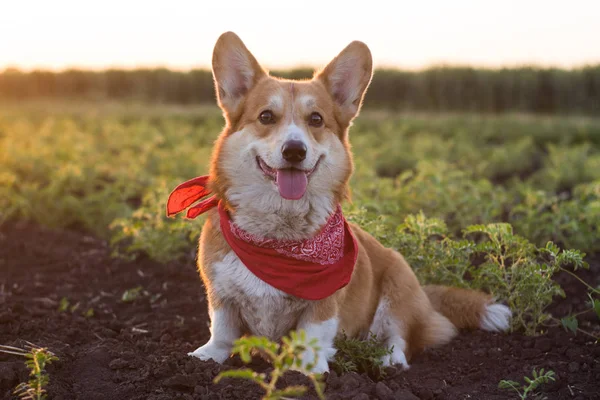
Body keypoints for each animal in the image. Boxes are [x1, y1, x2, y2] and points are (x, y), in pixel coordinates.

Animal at [169, 32, 510, 374]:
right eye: (266, 116)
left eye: (316, 119)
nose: (295, 151)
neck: (277, 237)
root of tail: (426, 298)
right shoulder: (221, 295)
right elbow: (223, 328)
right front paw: (207, 356)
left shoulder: (324, 302)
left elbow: (312, 333)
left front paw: (309, 369)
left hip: (398, 285)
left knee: (399, 337)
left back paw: (388, 360)